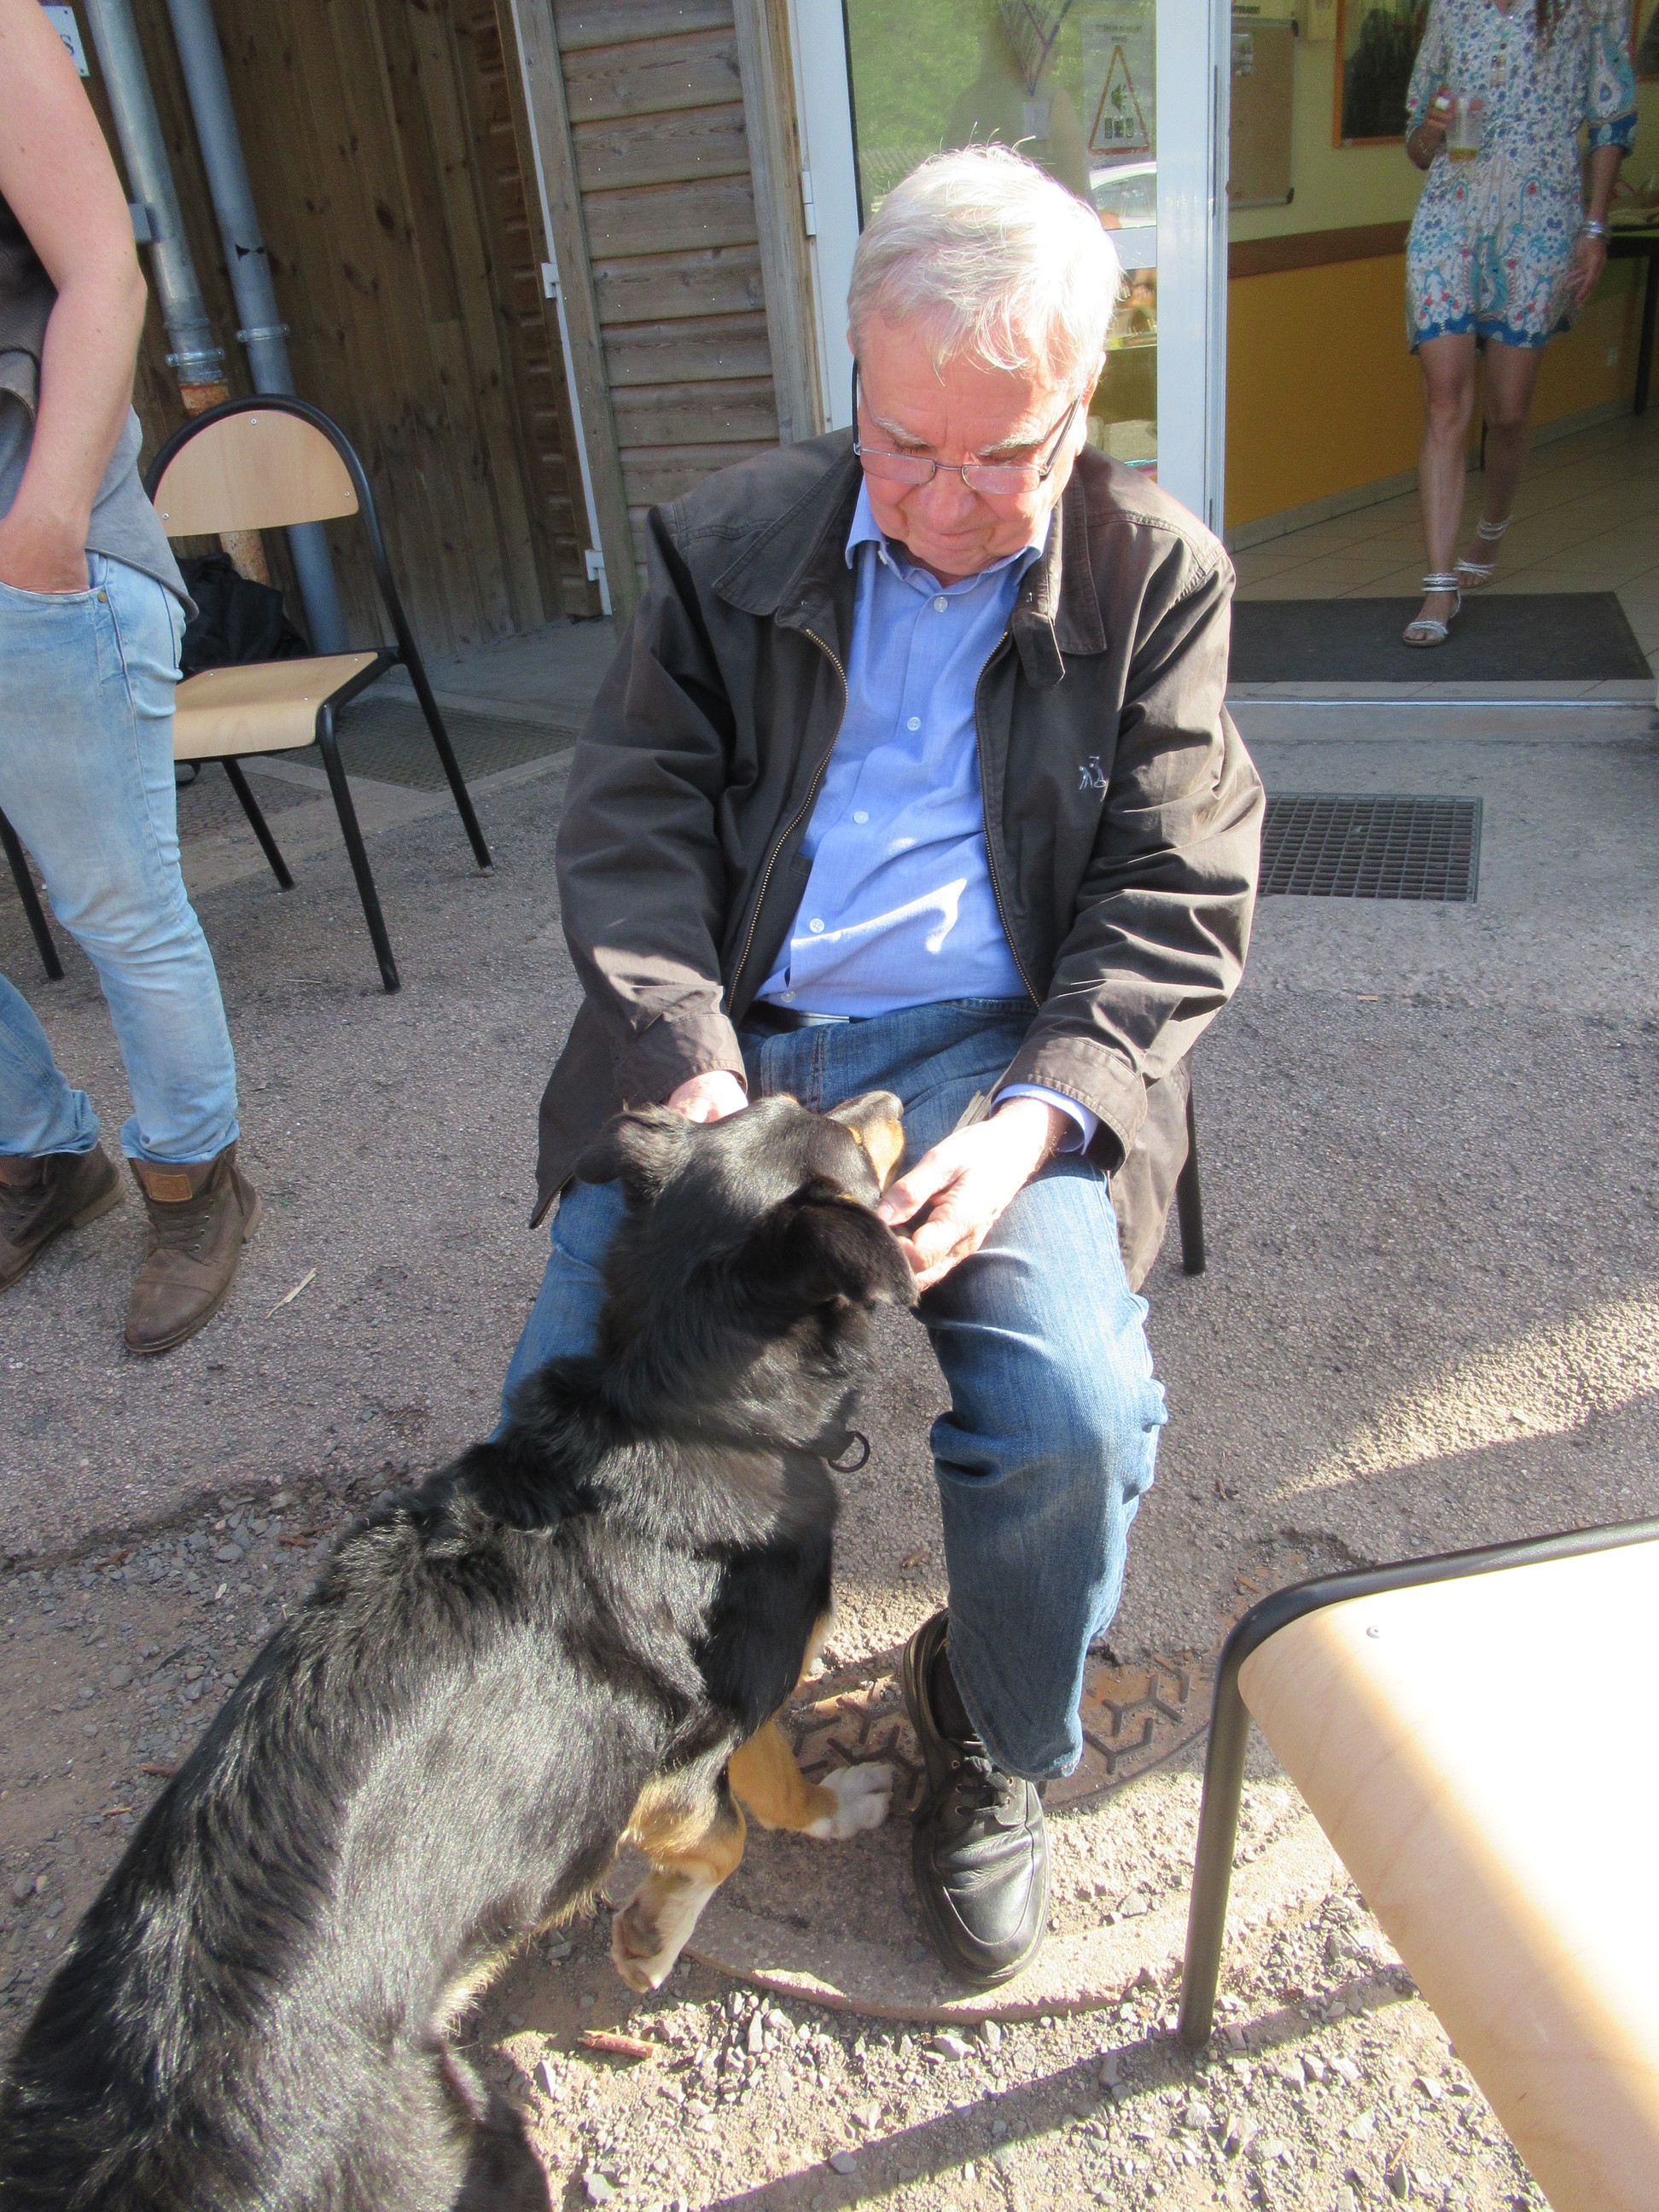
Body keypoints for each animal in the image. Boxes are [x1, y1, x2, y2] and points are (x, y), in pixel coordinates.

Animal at [0, 1092, 915, 2212]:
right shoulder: (697, 1751)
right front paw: (670, 1923)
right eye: (828, 1130)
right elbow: (750, 1819)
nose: (891, 1099)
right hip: (478, 2149)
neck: (679, 1405)